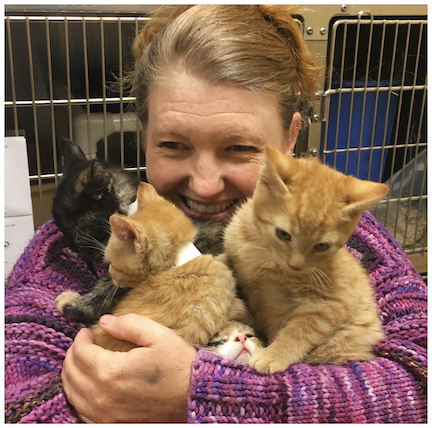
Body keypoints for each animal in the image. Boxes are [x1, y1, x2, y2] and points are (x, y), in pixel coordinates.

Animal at [224, 145, 390, 372]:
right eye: (283, 234)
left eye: (321, 246)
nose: (295, 265)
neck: (266, 257)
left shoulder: (333, 302)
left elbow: (301, 330)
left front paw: (273, 355)